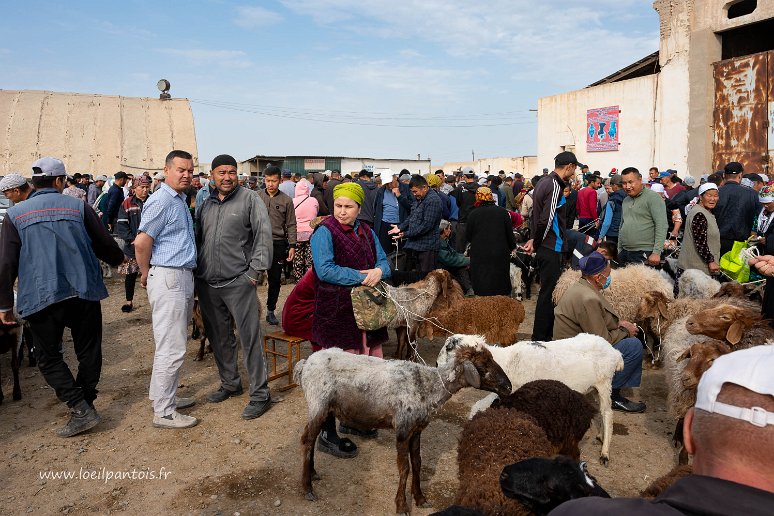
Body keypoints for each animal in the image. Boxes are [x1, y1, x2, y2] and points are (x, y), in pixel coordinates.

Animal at [436, 332, 624, 466]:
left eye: (449, 349)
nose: (436, 365)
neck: (507, 361)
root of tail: (615, 352)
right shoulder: (504, 391)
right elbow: (477, 406)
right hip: (592, 389)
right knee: (599, 412)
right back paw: (600, 435)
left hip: (604, 383)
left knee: (607, 413)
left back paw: (605, 453)